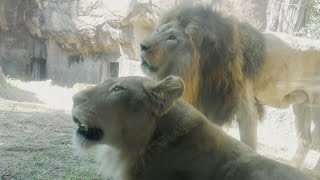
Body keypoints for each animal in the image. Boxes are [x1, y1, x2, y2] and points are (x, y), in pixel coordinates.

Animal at [140, 4, 320, 175]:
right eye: (157, 31)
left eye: (172, 38)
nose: (142, 45)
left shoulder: (246, 110)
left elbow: (248, 145)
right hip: (301, 105)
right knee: (305, 140)